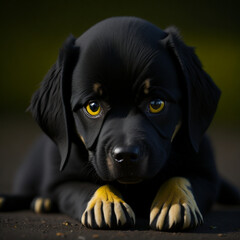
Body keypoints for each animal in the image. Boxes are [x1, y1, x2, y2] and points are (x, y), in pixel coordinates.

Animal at [0, 16, 238, 231]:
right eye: (93, 106)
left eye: (156, 103)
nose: (126, 156)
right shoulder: (61, 182)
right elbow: (83, 188)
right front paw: (105, 203)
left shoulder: (207, 174)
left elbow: (182, 178)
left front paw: (173, 202)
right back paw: (31, 200)